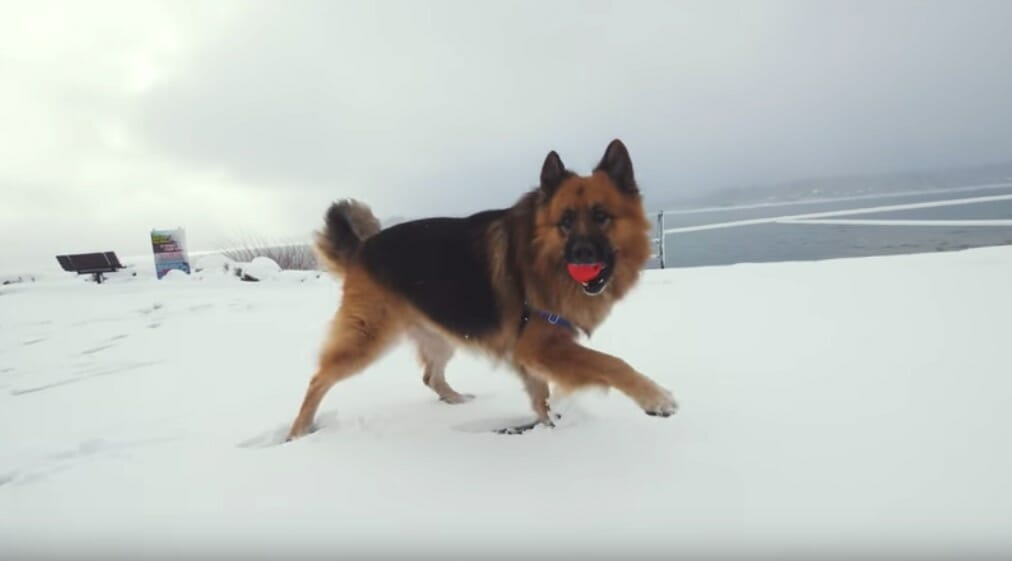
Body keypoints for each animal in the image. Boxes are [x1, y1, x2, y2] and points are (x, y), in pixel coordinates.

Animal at [289, 138, 676, 437]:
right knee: (317, 380)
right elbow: (611, 363)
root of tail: (362, 248)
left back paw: (457, 400)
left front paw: (549, 428)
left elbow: (540, 396)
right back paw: (298, 432)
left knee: (431, 377)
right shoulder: (543, 345)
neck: (542, 254)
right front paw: (655, 397)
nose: (582, 256)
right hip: (367, 338)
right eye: (565, 222)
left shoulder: (529, 351)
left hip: (441, 333)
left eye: (601, 216)